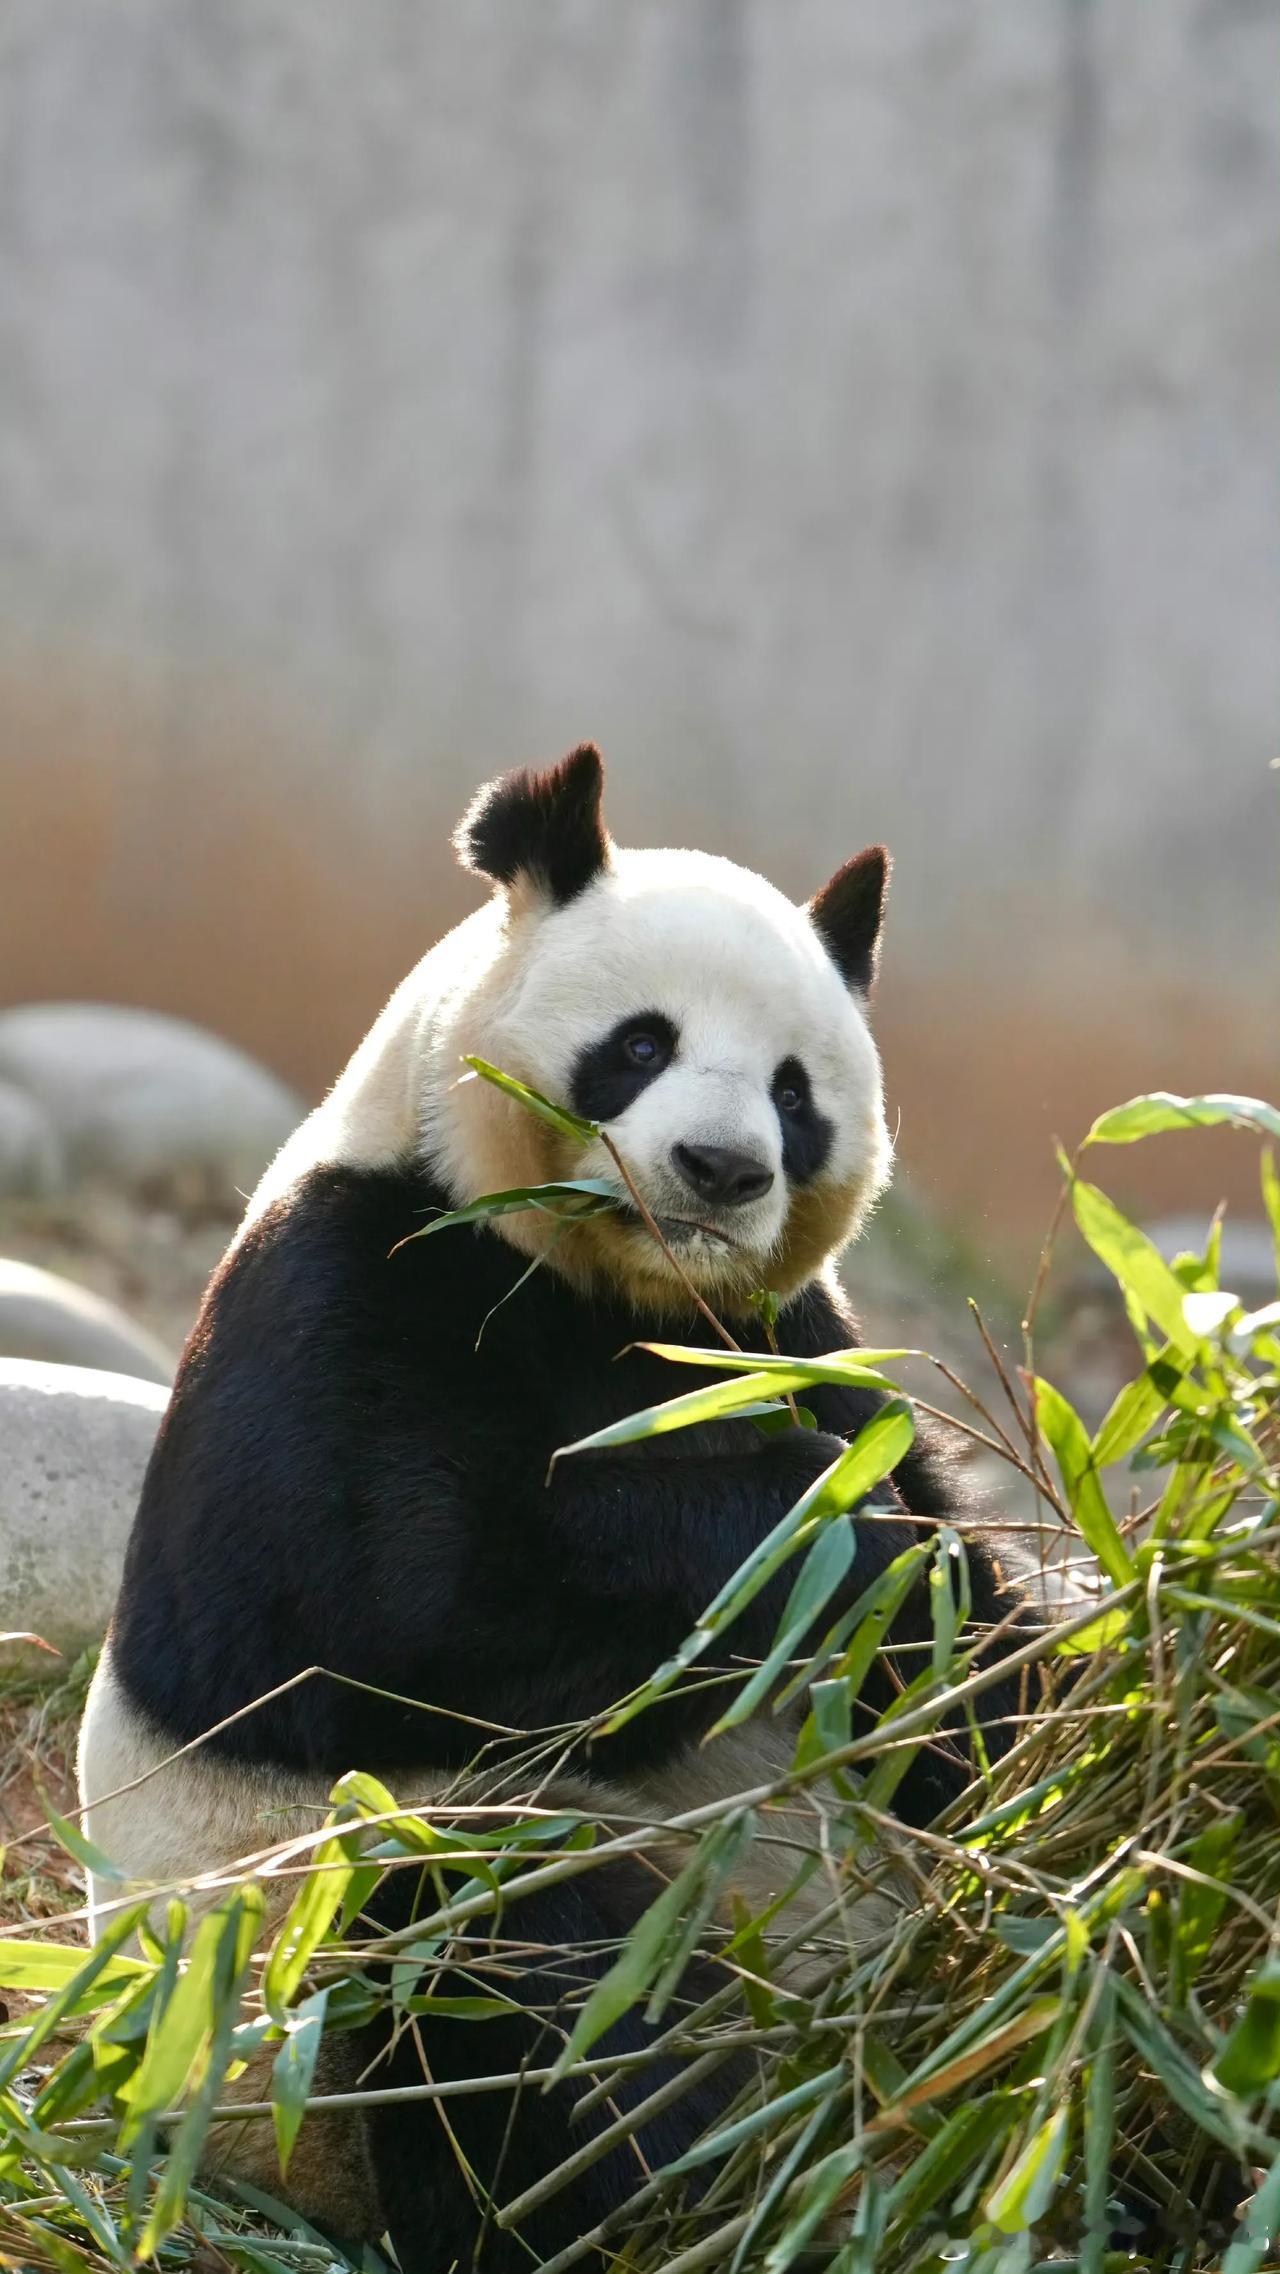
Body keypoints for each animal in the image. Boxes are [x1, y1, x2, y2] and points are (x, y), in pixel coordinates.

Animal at [77, 750, 1041, 2274]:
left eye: (793, 1093)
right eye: (639, 1046)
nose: (720, 1169)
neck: (616, 1288)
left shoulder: (790, 1333)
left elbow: (966, 1646)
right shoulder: (348, 1285)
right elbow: (370, 1634)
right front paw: (796, 1524)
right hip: (294, 1996)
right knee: (504, 1960)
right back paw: (705, 2181)